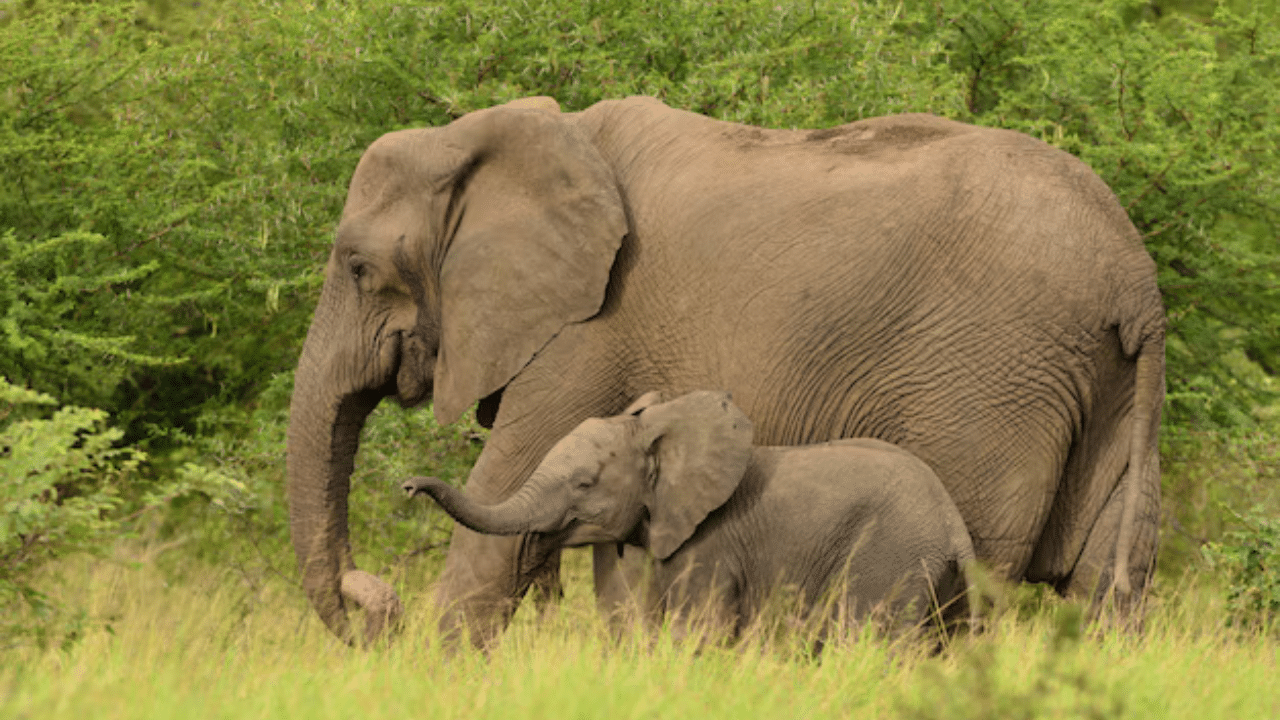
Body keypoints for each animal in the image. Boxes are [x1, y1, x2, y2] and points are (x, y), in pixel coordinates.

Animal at [404, 389, 972, 635]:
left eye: (584, 484)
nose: (408, 486)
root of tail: (951, 523)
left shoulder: (710, 545)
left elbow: (697, 631)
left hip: (889, 557)